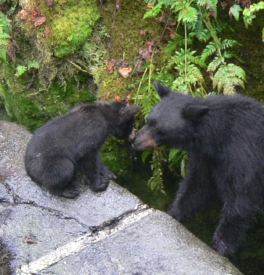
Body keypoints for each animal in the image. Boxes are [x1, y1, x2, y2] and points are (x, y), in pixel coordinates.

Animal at [133, 80, 264, 256]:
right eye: (148, 120)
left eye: (158, 128)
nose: (134, 141)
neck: (219, 137)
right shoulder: (205, 158)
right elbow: (197, 187)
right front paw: (173, 213)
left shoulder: (245, 156)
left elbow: (241, 199)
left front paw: (219, 246)